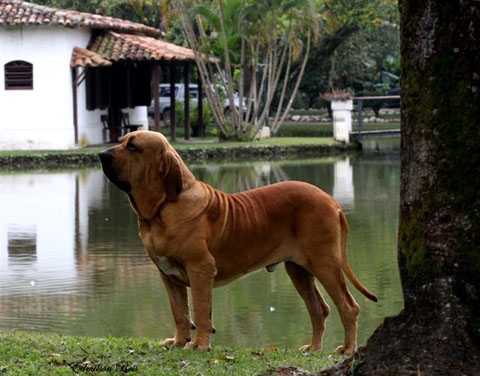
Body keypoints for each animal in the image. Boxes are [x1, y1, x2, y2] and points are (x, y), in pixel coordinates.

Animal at [99, 131, 376, 354]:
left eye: (133, 147)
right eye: (122, 140)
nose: (101, 154)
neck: (161, 208)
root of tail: (332, 202)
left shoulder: (200, 269)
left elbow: (200, 310)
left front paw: (199, 345)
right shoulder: (167, 275)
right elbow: (180, 312)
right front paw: (179, 342)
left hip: (324, 263)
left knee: (348, 307)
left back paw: (348, 349)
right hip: (298, 270)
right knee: (319, 309)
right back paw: (314, 348)